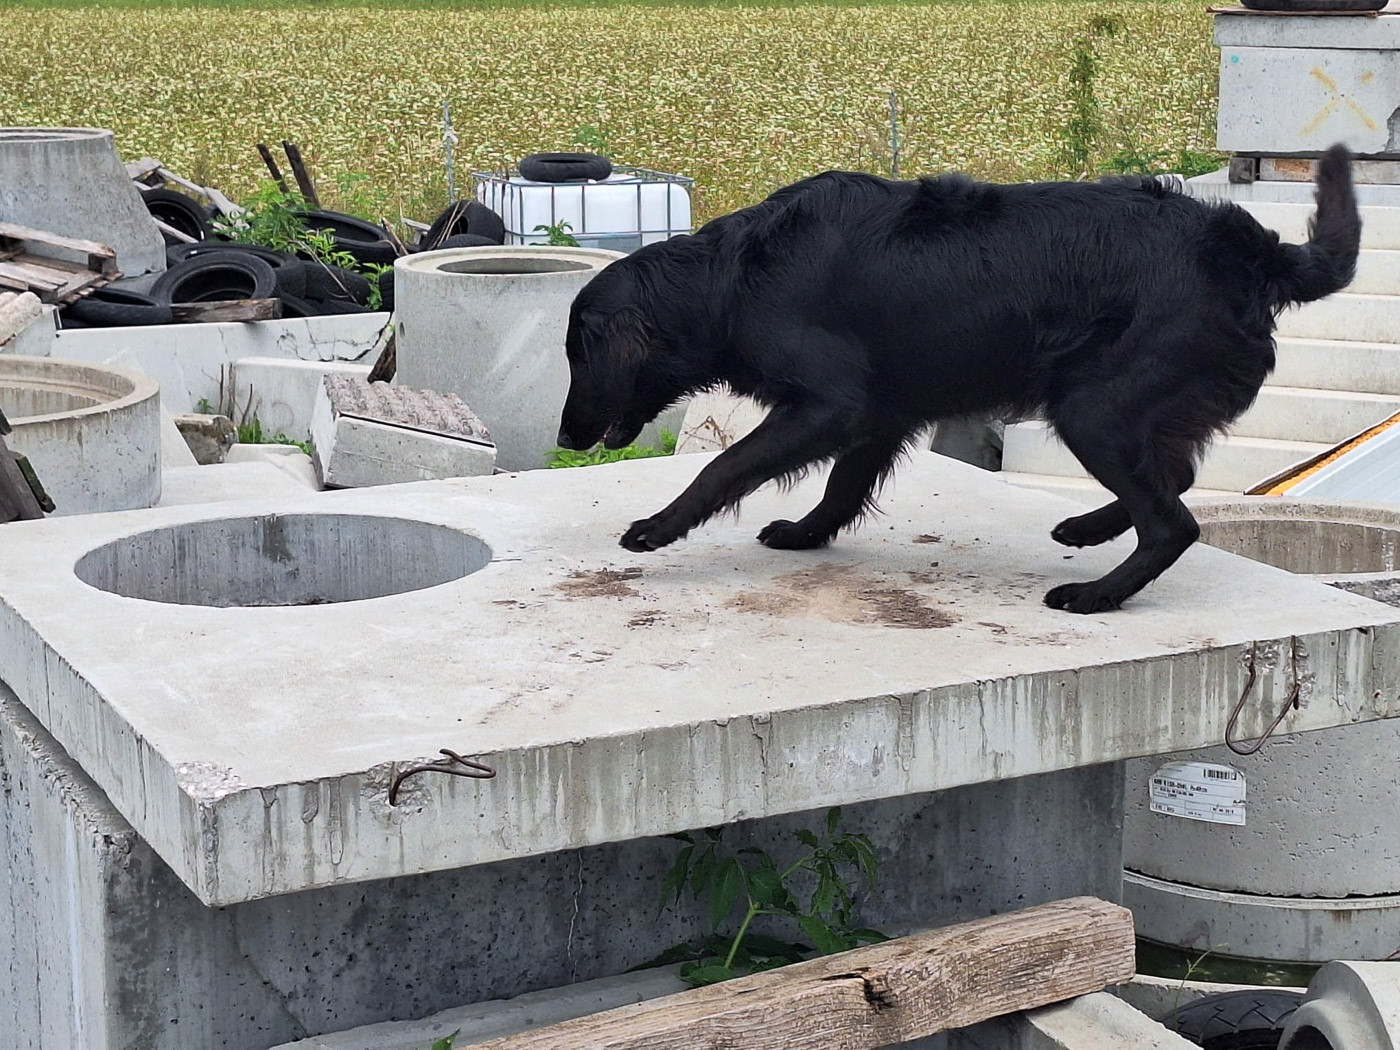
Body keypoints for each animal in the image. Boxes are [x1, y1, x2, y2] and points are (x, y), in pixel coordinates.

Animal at [556, 147, 1359, 613]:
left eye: (577, 355)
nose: (564, 433)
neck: (732, 278)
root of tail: (1253, 251)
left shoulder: (831, 404)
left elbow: (724, 466)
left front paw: (658, 528)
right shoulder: (882, 409)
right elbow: (842, 486)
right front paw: (808, 534)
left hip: (1092, 407)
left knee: (1174, 521)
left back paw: (1095, 594)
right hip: (1129, 407)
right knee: (1176, 483)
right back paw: (1086, 527)